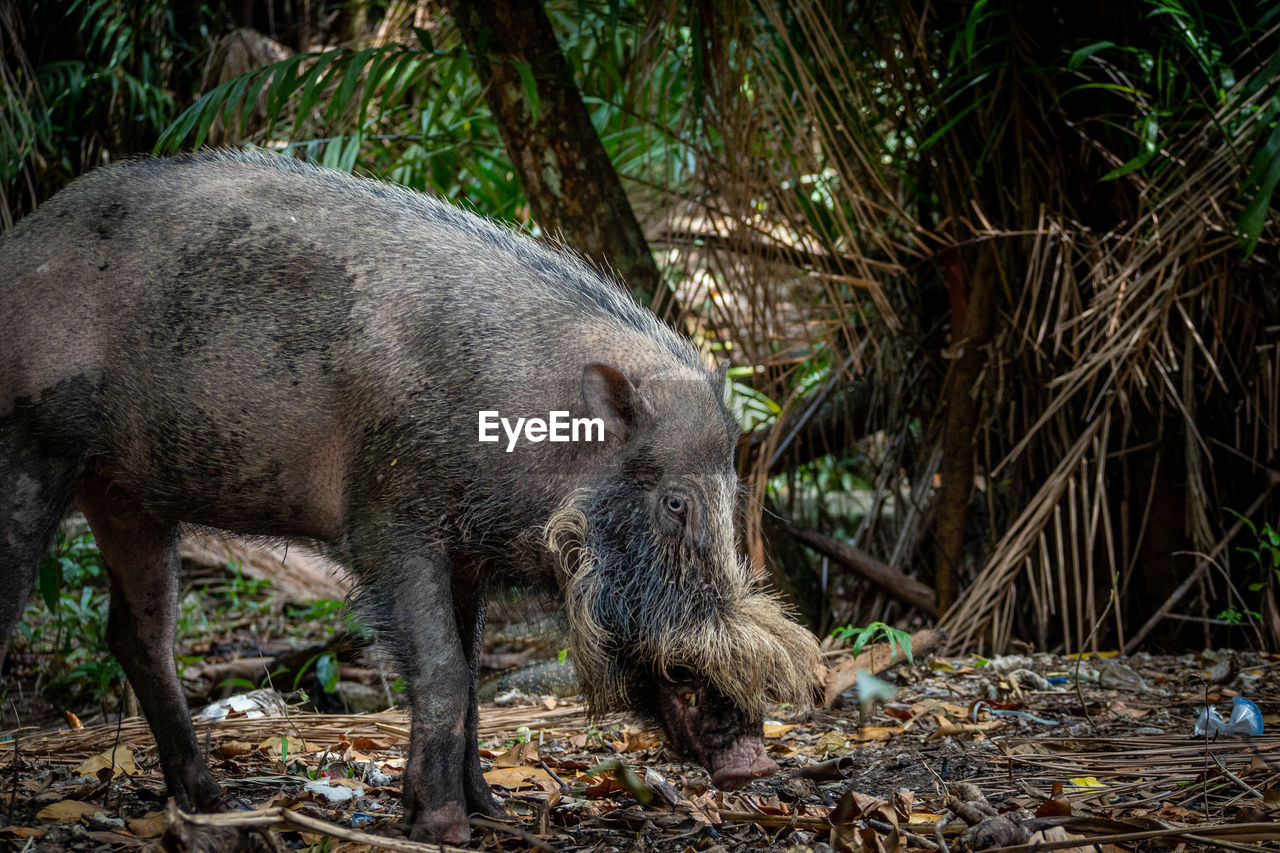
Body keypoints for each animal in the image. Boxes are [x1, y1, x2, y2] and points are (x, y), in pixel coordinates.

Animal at [0, 149, 819, 840]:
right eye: (675, 501)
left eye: (732, 493)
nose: (754, 762)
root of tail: (20, 236)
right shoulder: (388, 521)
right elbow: (442, 671)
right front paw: (444, 829)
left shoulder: (468, 556)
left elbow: (475, 676)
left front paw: (490, 814)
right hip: (34, 450)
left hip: (125, 495)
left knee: (138, 636)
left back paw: (214, 809)